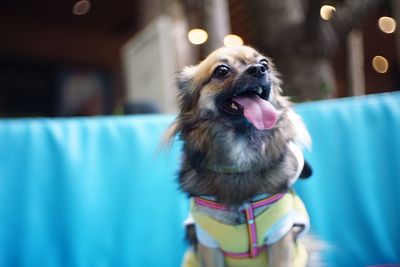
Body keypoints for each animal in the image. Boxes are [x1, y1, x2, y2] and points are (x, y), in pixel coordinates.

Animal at [166, 46, 316, 267]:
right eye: (221, 71)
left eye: (264, 63)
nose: (259, 69)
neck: (241, 159)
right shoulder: (208, 244)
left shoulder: (280, 237)